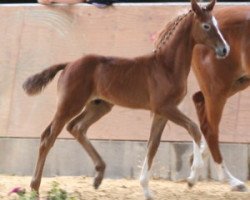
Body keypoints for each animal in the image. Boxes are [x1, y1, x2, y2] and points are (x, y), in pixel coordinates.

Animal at [23, 0, 229, 199]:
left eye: (217, 24)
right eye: (206, 26)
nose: (225, 49)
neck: (166, 66)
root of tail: (68, 64)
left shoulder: (161, 113)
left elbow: (153, 146)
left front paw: (146, 190)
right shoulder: (166, 108)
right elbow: (193, 129)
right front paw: (193, 175)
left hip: (99, 106)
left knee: (76, 127)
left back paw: (98, 175)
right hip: (69, 104)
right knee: (48, 137)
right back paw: (34, 188)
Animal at [191, 5, 250, 191]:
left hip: (237, 83)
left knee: (199, 102)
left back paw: (194, 170)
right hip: (218, 89)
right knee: (210, 129)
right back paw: (231, 180)